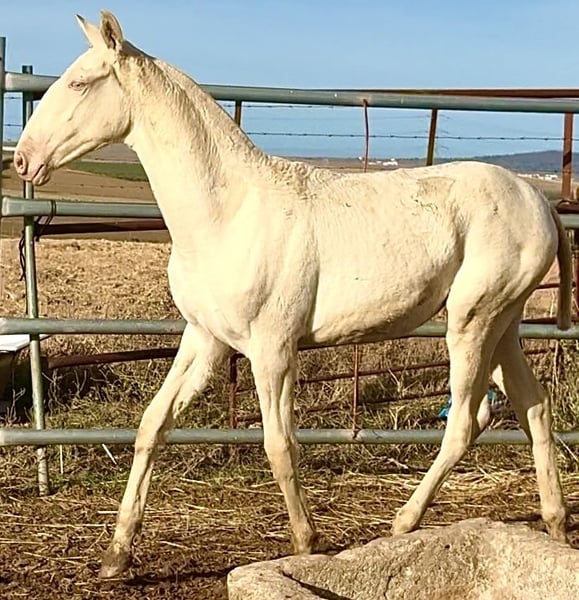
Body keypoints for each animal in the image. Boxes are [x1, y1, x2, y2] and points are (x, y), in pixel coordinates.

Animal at [14, 11, 571, 579]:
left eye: (80, 83)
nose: (23, 160)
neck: (227, 214)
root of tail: (540, 203)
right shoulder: (205, 339)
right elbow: (153, 424)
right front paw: (116, 554)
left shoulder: (272, 349)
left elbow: (279, 444)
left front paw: (306, 542)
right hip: (502, 323)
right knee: (533, 406)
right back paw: (554, 523)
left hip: (472, 321)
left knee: (465, 420)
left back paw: (403, 523)